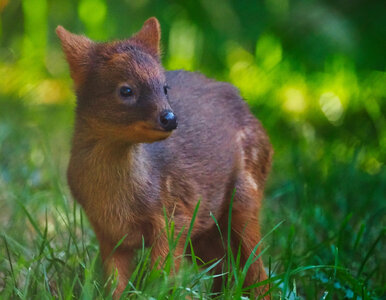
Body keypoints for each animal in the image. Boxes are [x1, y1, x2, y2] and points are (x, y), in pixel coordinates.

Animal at [57, 17, 272, 298]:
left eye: (164, 87)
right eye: (126, 90)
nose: (170, 118)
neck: (116, 201)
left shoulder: (175, 215)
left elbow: (163, 276)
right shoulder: (108, 233)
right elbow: (115, 284)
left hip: (245, 193)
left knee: (256, 266)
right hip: (206, 232)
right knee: (226, 267)